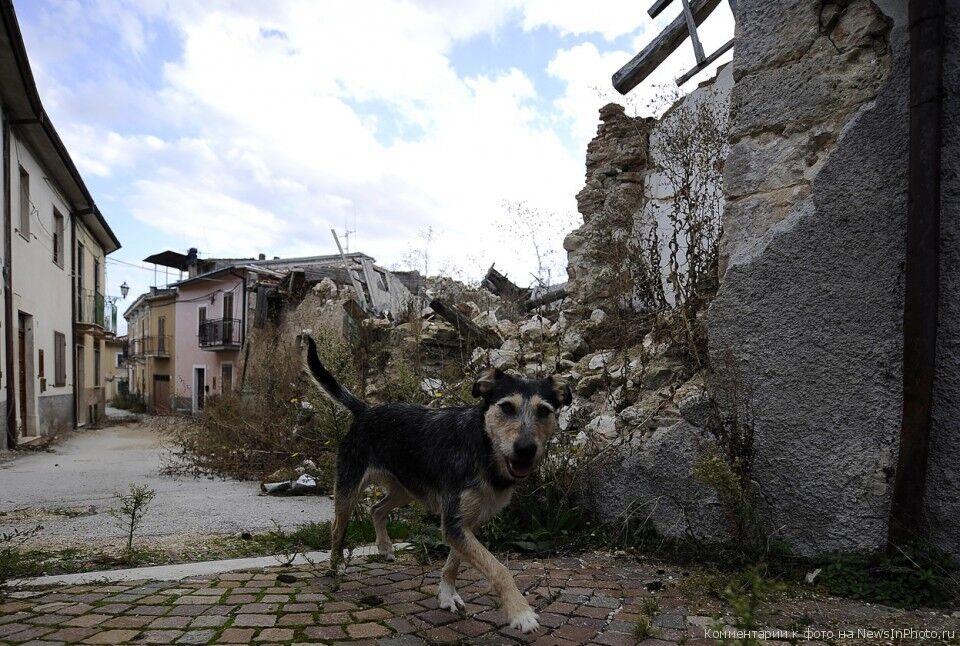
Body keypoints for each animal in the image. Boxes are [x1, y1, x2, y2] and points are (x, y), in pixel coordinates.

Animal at [300, 334, 568, 632]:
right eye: (507, 407)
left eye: (544, 411)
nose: (525, 449)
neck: (484, 449)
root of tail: (365, 410)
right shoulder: (454, 523)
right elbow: (498, 568)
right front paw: (520, 612)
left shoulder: (466, 521)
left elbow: (454, 561)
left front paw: (447, 594)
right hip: (349, 489)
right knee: (337, 529)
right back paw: (335, 567)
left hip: (405, 488)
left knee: (376, 509)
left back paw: (385, 547)